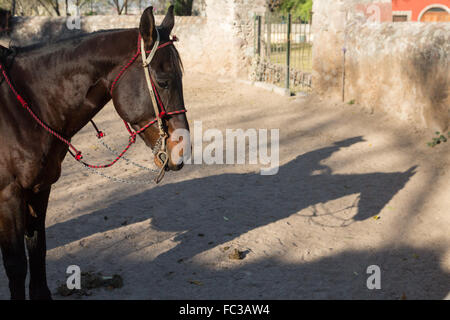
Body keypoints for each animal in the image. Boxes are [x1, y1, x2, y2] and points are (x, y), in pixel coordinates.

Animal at [0, 5, 188, 300]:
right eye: (163, 81)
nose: (181, 149)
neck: (20, 109)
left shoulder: (38, 190)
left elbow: (38, 251)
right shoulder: (8, 196)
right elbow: (17, 265)